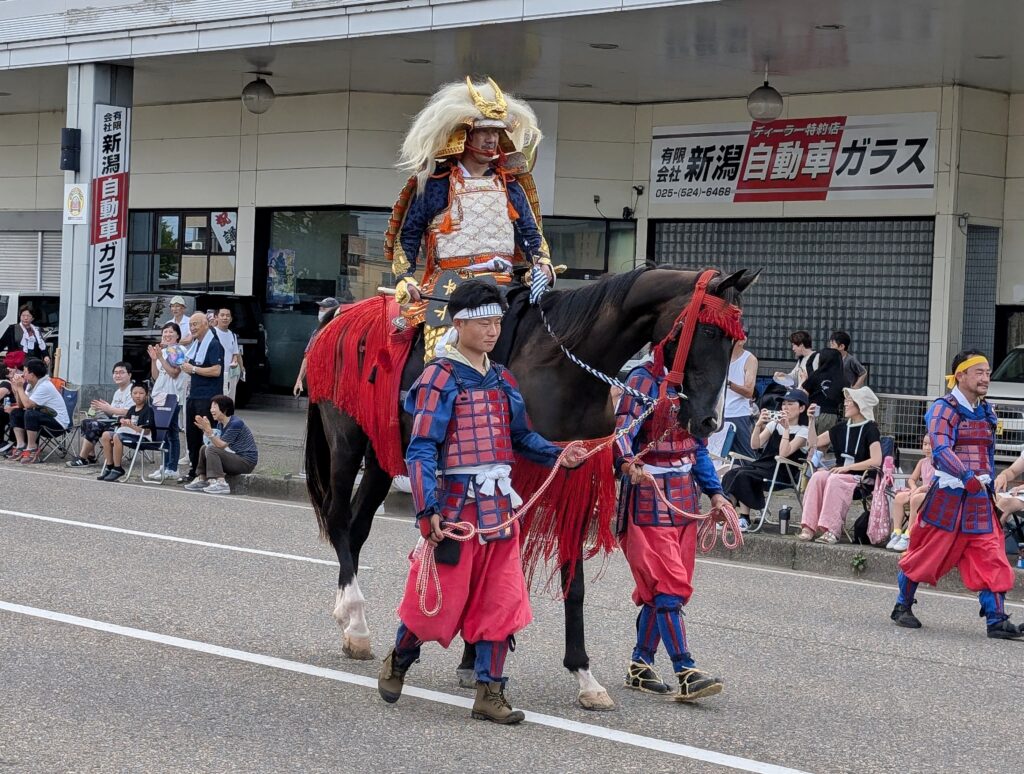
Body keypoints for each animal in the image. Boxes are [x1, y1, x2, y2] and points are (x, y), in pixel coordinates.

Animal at [299, 264, 757, 708]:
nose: (709, 421)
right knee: (339, 519)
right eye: (709, 331)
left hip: (384, 451)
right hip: (347, 439)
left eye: (737, 339)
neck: (565, 368)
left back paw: (352, 625)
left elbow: (573, 583)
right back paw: (355, 618)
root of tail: (337, 314)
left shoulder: (574, 475)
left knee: (358, 526)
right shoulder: (517, 475)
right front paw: (480, 654)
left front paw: (583, 675)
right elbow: (501, 569)